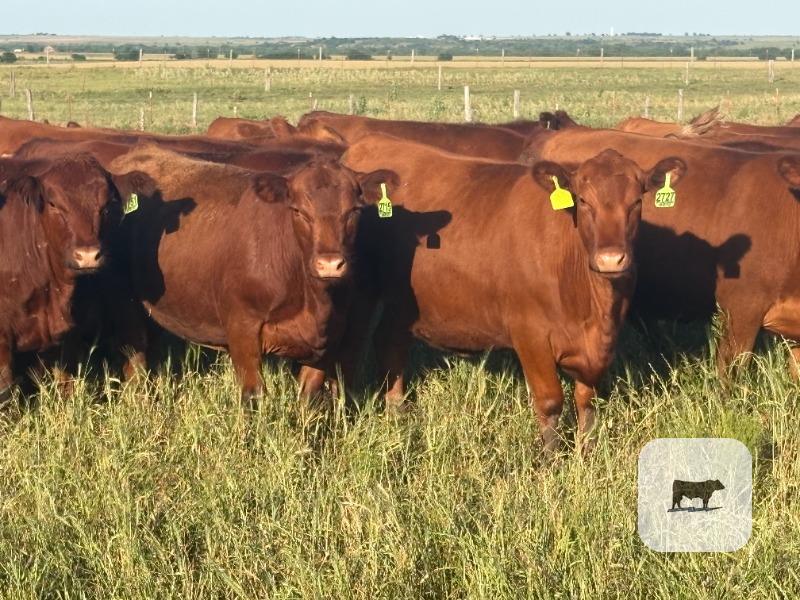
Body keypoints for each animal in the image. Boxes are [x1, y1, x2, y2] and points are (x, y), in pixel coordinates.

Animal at [106, 146, 392, 405]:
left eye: (354, 210)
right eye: (298, 211)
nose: (330, 265)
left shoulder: (328, 338)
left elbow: (308, 397)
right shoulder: (243, 329)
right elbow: (253, 395)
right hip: (124, 300)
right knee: (135, 355)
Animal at [321, 134, 684, 451]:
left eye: (637, 201)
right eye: (583, 201)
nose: (611, 259)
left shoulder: (597, 347)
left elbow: (587, 401)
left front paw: (587, 452)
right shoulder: (530, 334)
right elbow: (550, 401)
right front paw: (551, 461)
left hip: (404, 297)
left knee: (389, 342)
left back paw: (398, 412)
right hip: (360, 290)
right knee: (351, 350)